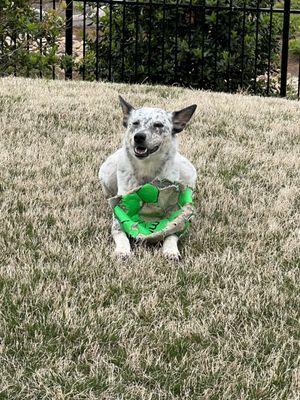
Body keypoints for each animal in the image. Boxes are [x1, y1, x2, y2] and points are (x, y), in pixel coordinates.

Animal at [98, 96, 197, 260]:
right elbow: (119, 230)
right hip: (106, 172)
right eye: (135, 123)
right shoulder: (118, 211)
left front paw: (171, 250)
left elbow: (173, 232)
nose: (138, 137)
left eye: (158, 125)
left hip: (189, 172)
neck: (147, 170)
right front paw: (122, 250)